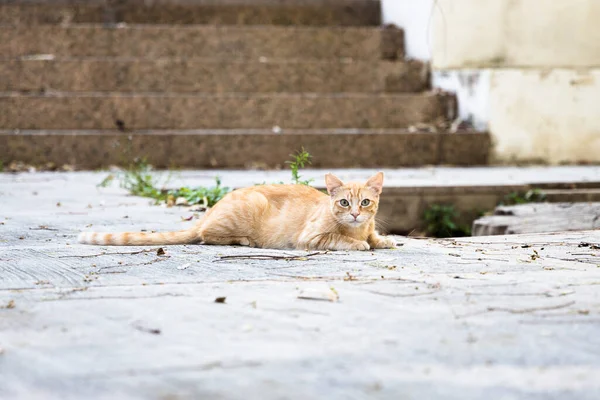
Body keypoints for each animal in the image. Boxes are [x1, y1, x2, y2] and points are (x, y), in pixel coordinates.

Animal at [78, 171, 394, 250]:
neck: (356, 227)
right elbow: (342, 239)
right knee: (206, 235)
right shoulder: (312, 238)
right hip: (249, 205)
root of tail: (211, 210)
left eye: (365, 203)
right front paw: (359, 243)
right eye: (344, 203)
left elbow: (374, 236)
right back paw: (243, 240)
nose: (355, 213)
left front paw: (382, 240)